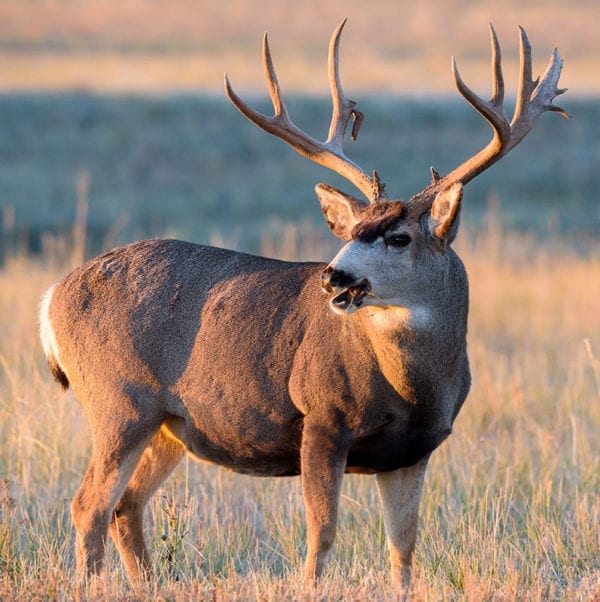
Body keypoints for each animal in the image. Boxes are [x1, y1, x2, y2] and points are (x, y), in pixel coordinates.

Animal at [38, 19, 568, 592]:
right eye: (353, 231)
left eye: (399, 237)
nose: (332, 275)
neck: (414, 388)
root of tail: (52, 297)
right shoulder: (321, 417)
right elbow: (322, 534)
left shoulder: (414, 449)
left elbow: (403, 548)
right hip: (118, 401)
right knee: (89, 506)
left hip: (168, 424)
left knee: (125, 507)